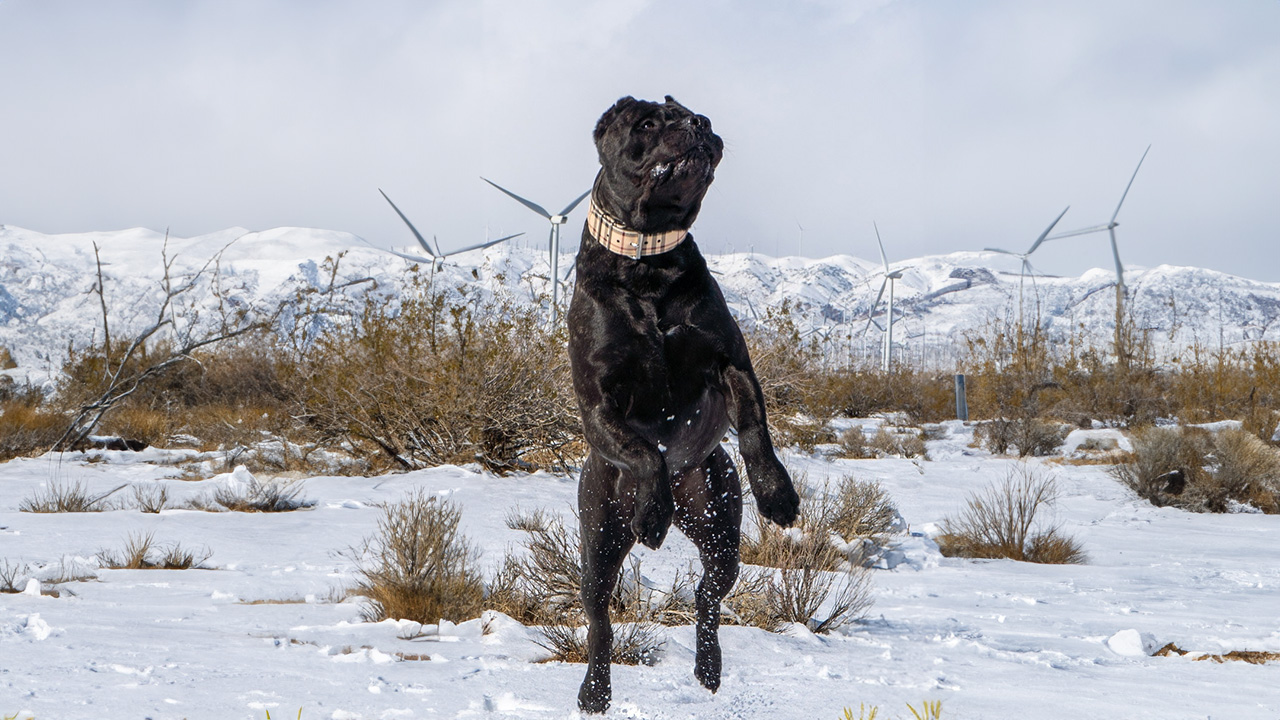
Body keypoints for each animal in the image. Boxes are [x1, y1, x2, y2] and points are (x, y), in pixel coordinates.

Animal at [570, 95, 798, 712]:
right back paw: (594, 692)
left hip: (718, 524)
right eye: (647, 122)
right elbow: (644, 451)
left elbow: (756, 429)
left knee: (706, 596)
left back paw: (708, 667)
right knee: (599, 619)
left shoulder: (730, 363)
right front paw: (653, 512)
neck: (647, 262)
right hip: (598, 540)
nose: (699, 125)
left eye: (698, 115)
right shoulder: (599, 403)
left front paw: (778, 493)